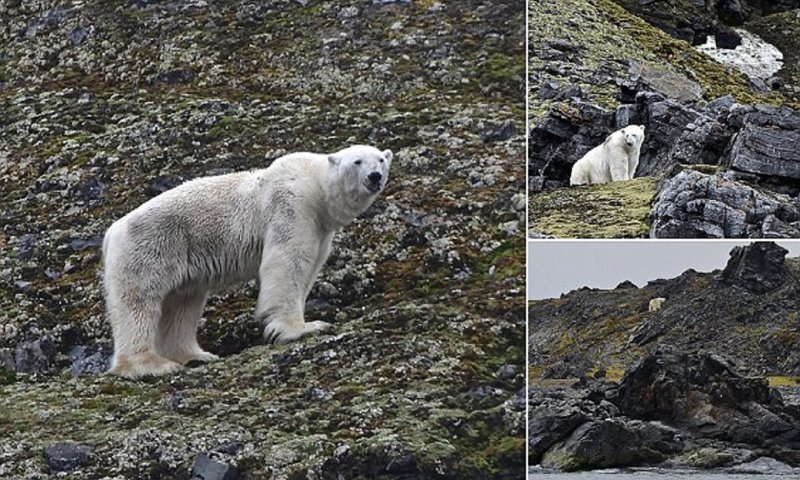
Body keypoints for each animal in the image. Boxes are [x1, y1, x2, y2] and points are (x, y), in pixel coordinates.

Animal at [101, 144, 396, 376]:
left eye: (380, 159)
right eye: (357, 161)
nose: (375, 176)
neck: (314, 184)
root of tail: (111, 232)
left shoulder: (321, 229)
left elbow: (310, 267)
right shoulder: (291, 205)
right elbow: (287, 261)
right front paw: (304, 327)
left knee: (183, 304)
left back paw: (195, 355)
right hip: (150, 247)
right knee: (139, 302)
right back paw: (151, 365)